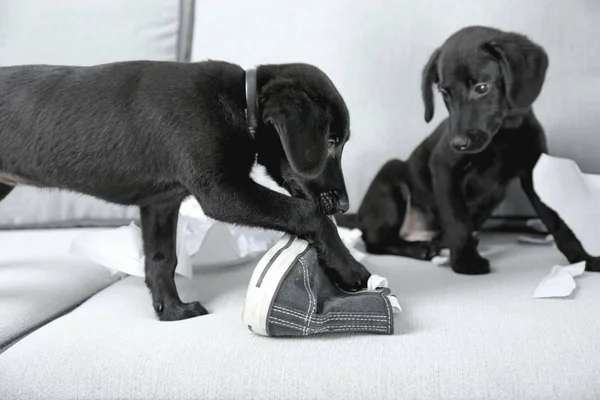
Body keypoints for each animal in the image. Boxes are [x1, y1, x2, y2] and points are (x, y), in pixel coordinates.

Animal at [0, 61, 370, 320]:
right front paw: (351, 270)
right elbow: (308, 213)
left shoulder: (160, 204)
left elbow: (162, 260)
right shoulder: (221, 192)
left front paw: (171, 310)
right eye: (331, 142)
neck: (239, 104)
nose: (345, 204)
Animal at [338, 25, 600, 276]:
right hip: (391, 177)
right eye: (444, 92)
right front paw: (466, 261)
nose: (458, 143)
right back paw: (419, 248)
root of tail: (359, 215)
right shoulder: (444, 167)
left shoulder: (534, 172)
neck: (503, 134)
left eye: (482, 88)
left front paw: (582, 257)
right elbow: (457, 219)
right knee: (373, 241)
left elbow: (557, 220)